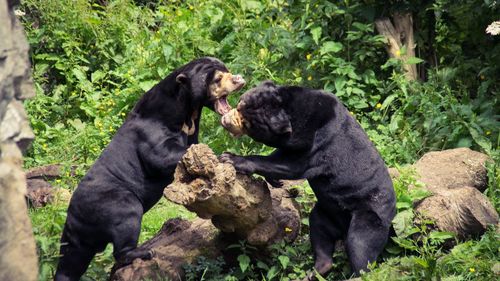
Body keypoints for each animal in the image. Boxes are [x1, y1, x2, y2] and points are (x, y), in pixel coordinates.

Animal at [55, 57, 246, 280]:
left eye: (227, 71)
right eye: (217, 78)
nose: (239, 79)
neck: (186, 112)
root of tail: (72, 217)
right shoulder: (151, 133)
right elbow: (161, 157)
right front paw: (220, 157)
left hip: (79, 239)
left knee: (71, 262)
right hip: (113, 203)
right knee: (127, 221)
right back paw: (143, 252)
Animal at [221, 80, 396, 278]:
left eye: (245, 117)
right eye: (240, 104)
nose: (226, 119)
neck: (294, 116)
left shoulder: (317, 141)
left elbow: (293, 165)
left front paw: (230, 158)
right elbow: (280, 156)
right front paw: (275, 181)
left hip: (368, 216)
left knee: (360, 245)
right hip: (323, 213)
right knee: (319, 234)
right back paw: (315, 272)